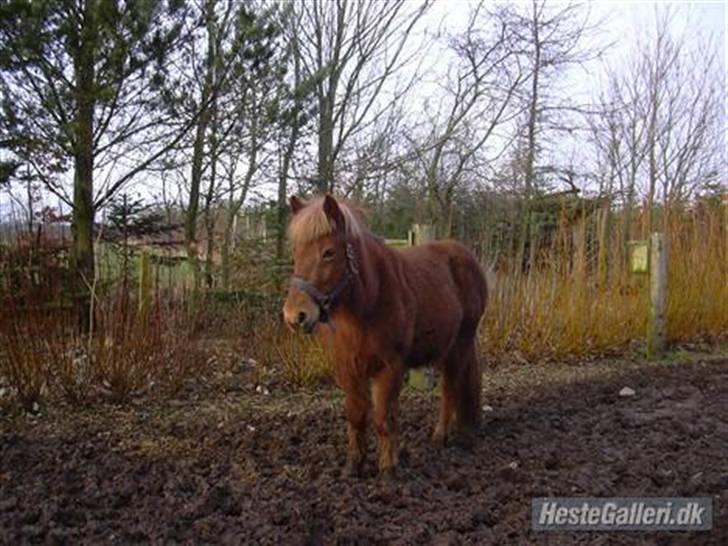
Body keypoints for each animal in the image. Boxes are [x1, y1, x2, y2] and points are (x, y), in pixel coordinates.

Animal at [282, 193, 486, 474]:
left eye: (329, 253)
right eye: (296, 252)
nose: (294, 316)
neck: (370, 300)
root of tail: (464, 255)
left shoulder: (389, 367)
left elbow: (382, 419)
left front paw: (388, 469)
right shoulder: (348, 368)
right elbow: (356, 415)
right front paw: (354, 465)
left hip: (460, 344)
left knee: (449, 389)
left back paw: (440, 436)